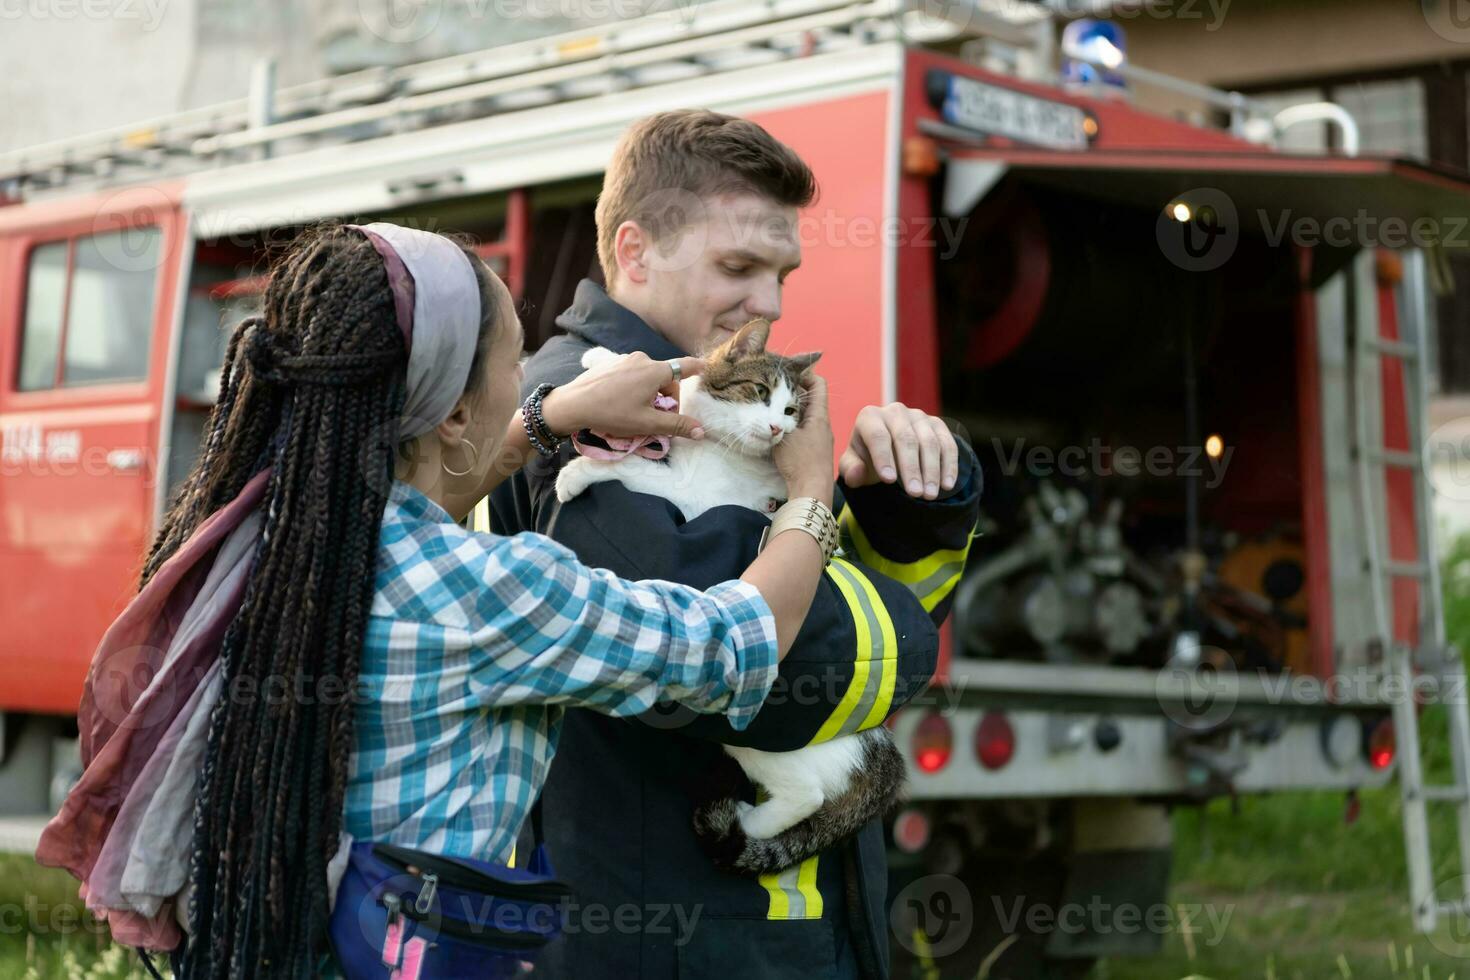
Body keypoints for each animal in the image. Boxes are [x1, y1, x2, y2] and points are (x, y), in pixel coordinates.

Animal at [552, 320, 905, 875]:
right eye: (760, 393)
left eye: (792, 411)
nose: (778, 429)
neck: (714, 437)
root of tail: (878, 745)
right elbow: (668, 386)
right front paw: (607, 363)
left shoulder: (691, 491)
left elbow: (637, 468)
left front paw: (578, 474)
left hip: (761, 734)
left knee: (806, 794)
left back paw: (750, 823)